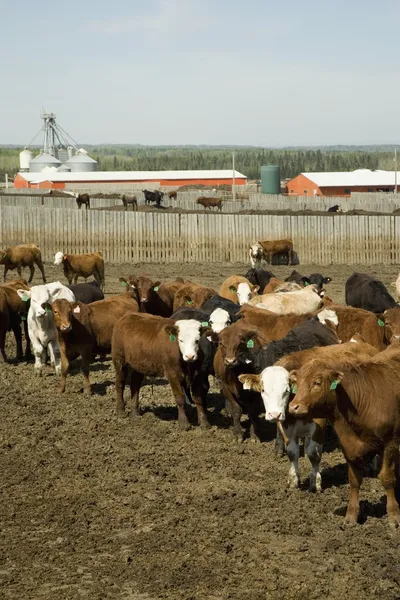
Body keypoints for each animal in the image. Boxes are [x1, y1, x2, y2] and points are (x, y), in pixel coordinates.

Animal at [238, 338, 378, 492]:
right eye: (263, 390)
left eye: (287, 390)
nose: (274, 414)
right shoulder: (286, 426)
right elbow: (292, 452)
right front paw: (293, 481)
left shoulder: (319, 423)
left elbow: (314, 453)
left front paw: (315, 483)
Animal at [288, 350, 400, 528]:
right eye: (296, 383)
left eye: (317, 382)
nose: (294, 406)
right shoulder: (348, 446)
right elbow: (354, 480)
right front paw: (351, 517)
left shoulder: (390, 443)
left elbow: (388, 478)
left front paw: (393, 516)